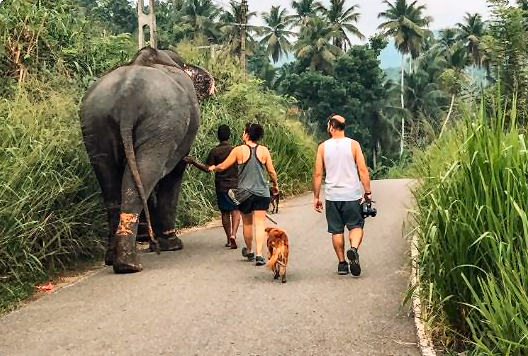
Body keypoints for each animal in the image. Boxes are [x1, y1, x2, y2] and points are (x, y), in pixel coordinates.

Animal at [79, 44, 214, 272]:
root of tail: (127, 97)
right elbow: (174, 173)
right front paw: (171, 244)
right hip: (161, 124)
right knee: (145, 173)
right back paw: (129, 263)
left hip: (95, 125)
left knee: (111, 184)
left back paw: (114, 258)